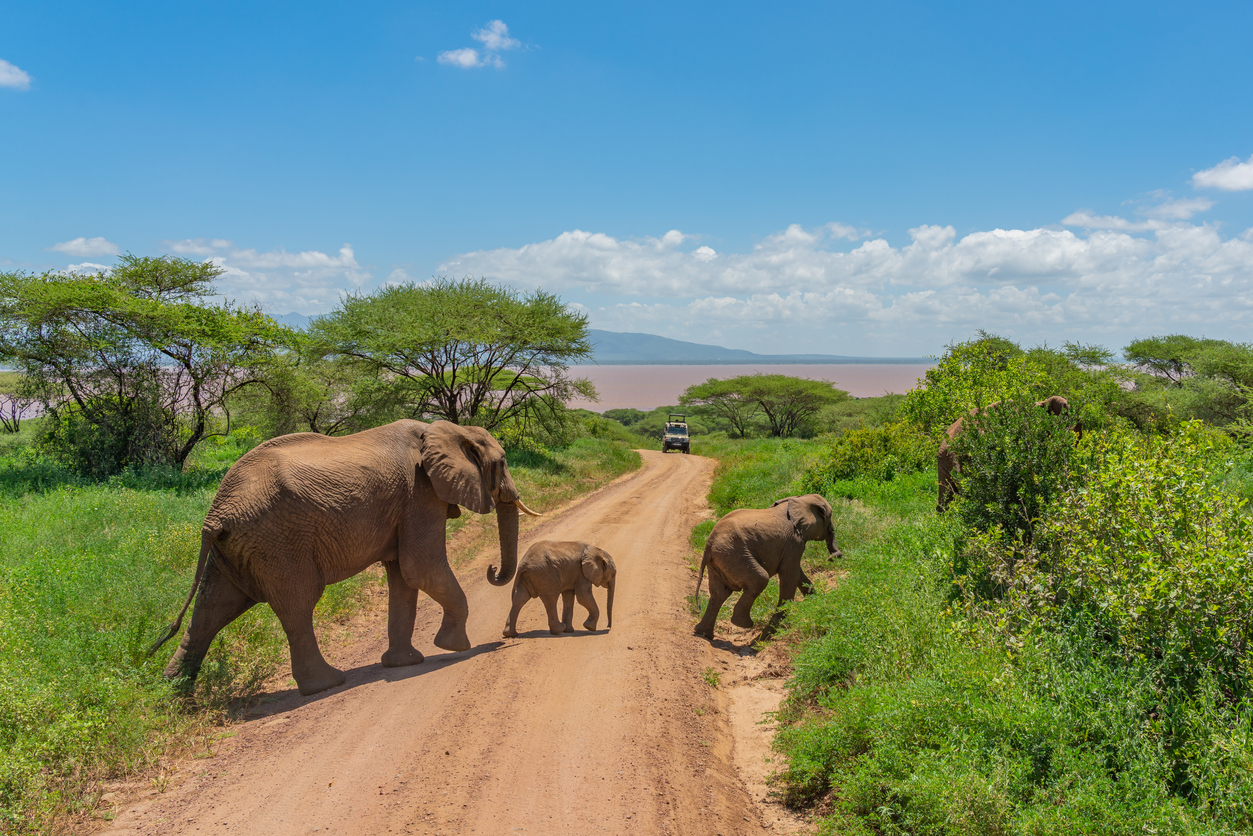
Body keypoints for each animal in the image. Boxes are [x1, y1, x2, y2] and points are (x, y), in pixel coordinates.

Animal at [149, 418, 541, 701]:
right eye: (502, 463)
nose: (492, 569)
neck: (449, 429)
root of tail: (215, 514)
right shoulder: (420, 493)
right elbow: (421, 568)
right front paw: (454, 647)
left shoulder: (408, 501)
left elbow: (403, 577)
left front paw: (404, 664)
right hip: (277, 542)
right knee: (297, 604)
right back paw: (327, 684)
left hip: (235, 549)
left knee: (212, 609)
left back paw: (173, 696)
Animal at [691, 496, 847, 641]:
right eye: (829, 516)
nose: (832, 557)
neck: (799, 499)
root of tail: (708, 546)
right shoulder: (793, 542)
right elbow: (790, 576)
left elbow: (798, 573)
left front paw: (815, 600)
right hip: (734, 554)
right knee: (760, 579)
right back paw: (743, 624)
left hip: (720, 561)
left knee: (719, 594)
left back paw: (703, 633)